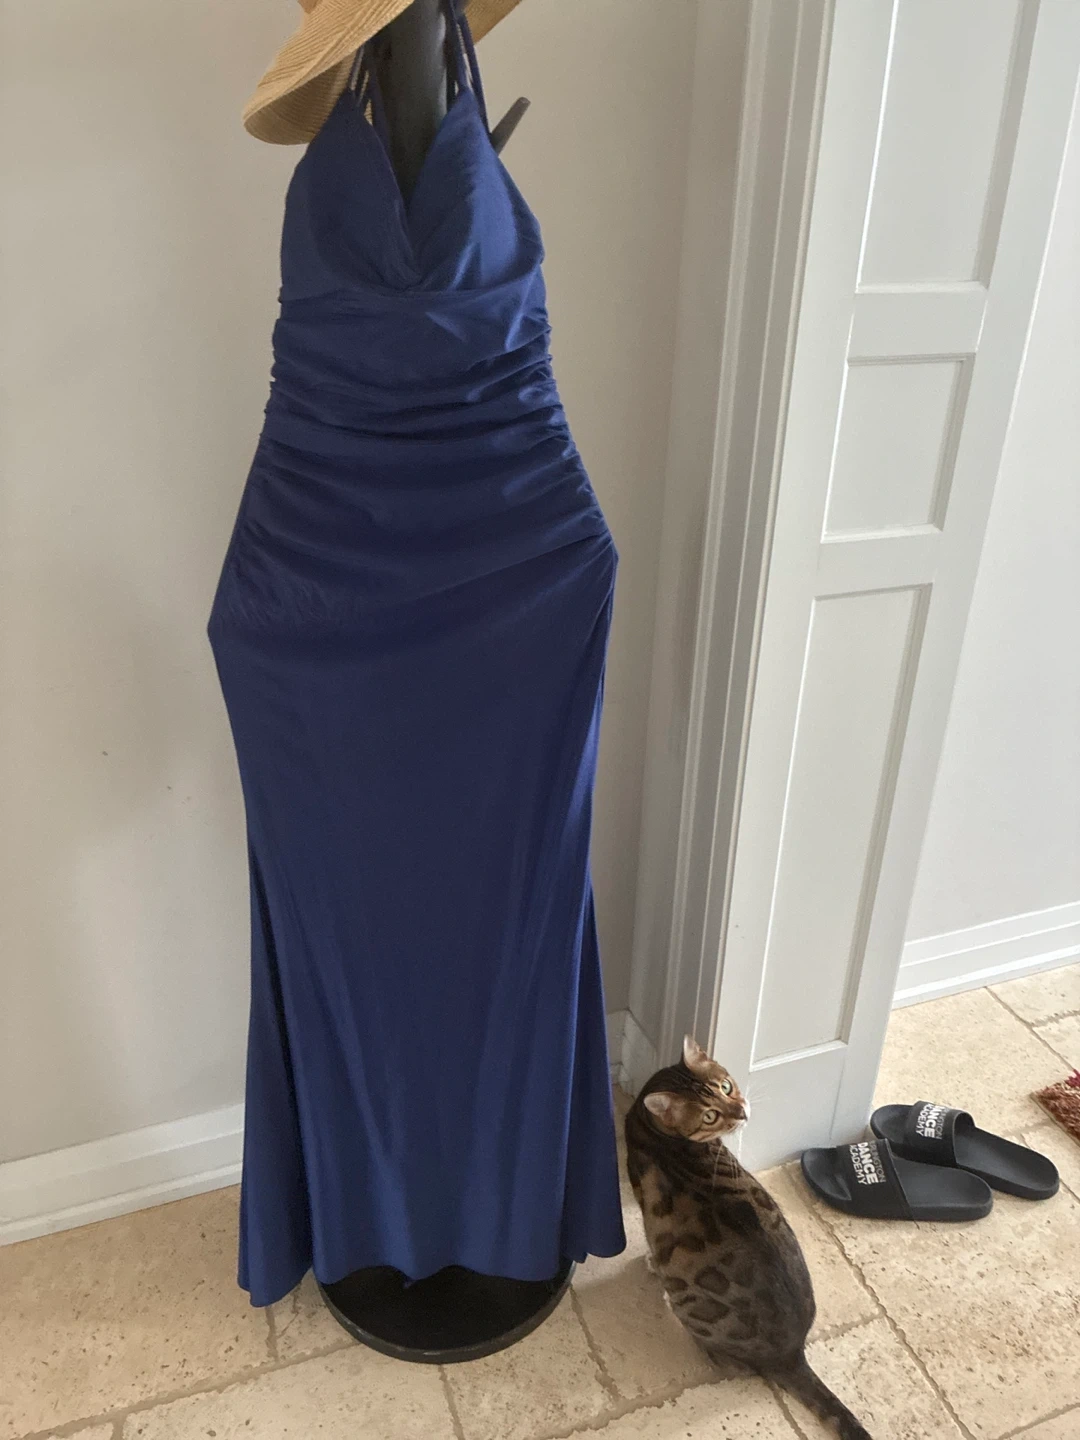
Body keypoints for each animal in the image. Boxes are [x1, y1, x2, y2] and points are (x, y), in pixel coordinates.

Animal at [624, 1035, 872, 1440]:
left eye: (725, 1086)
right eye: (709, 1115)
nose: (741, 1111)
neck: (657, 1130)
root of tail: (790, 1354)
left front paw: (646, 1261)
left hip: (689, 1306)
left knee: (730, 1365)